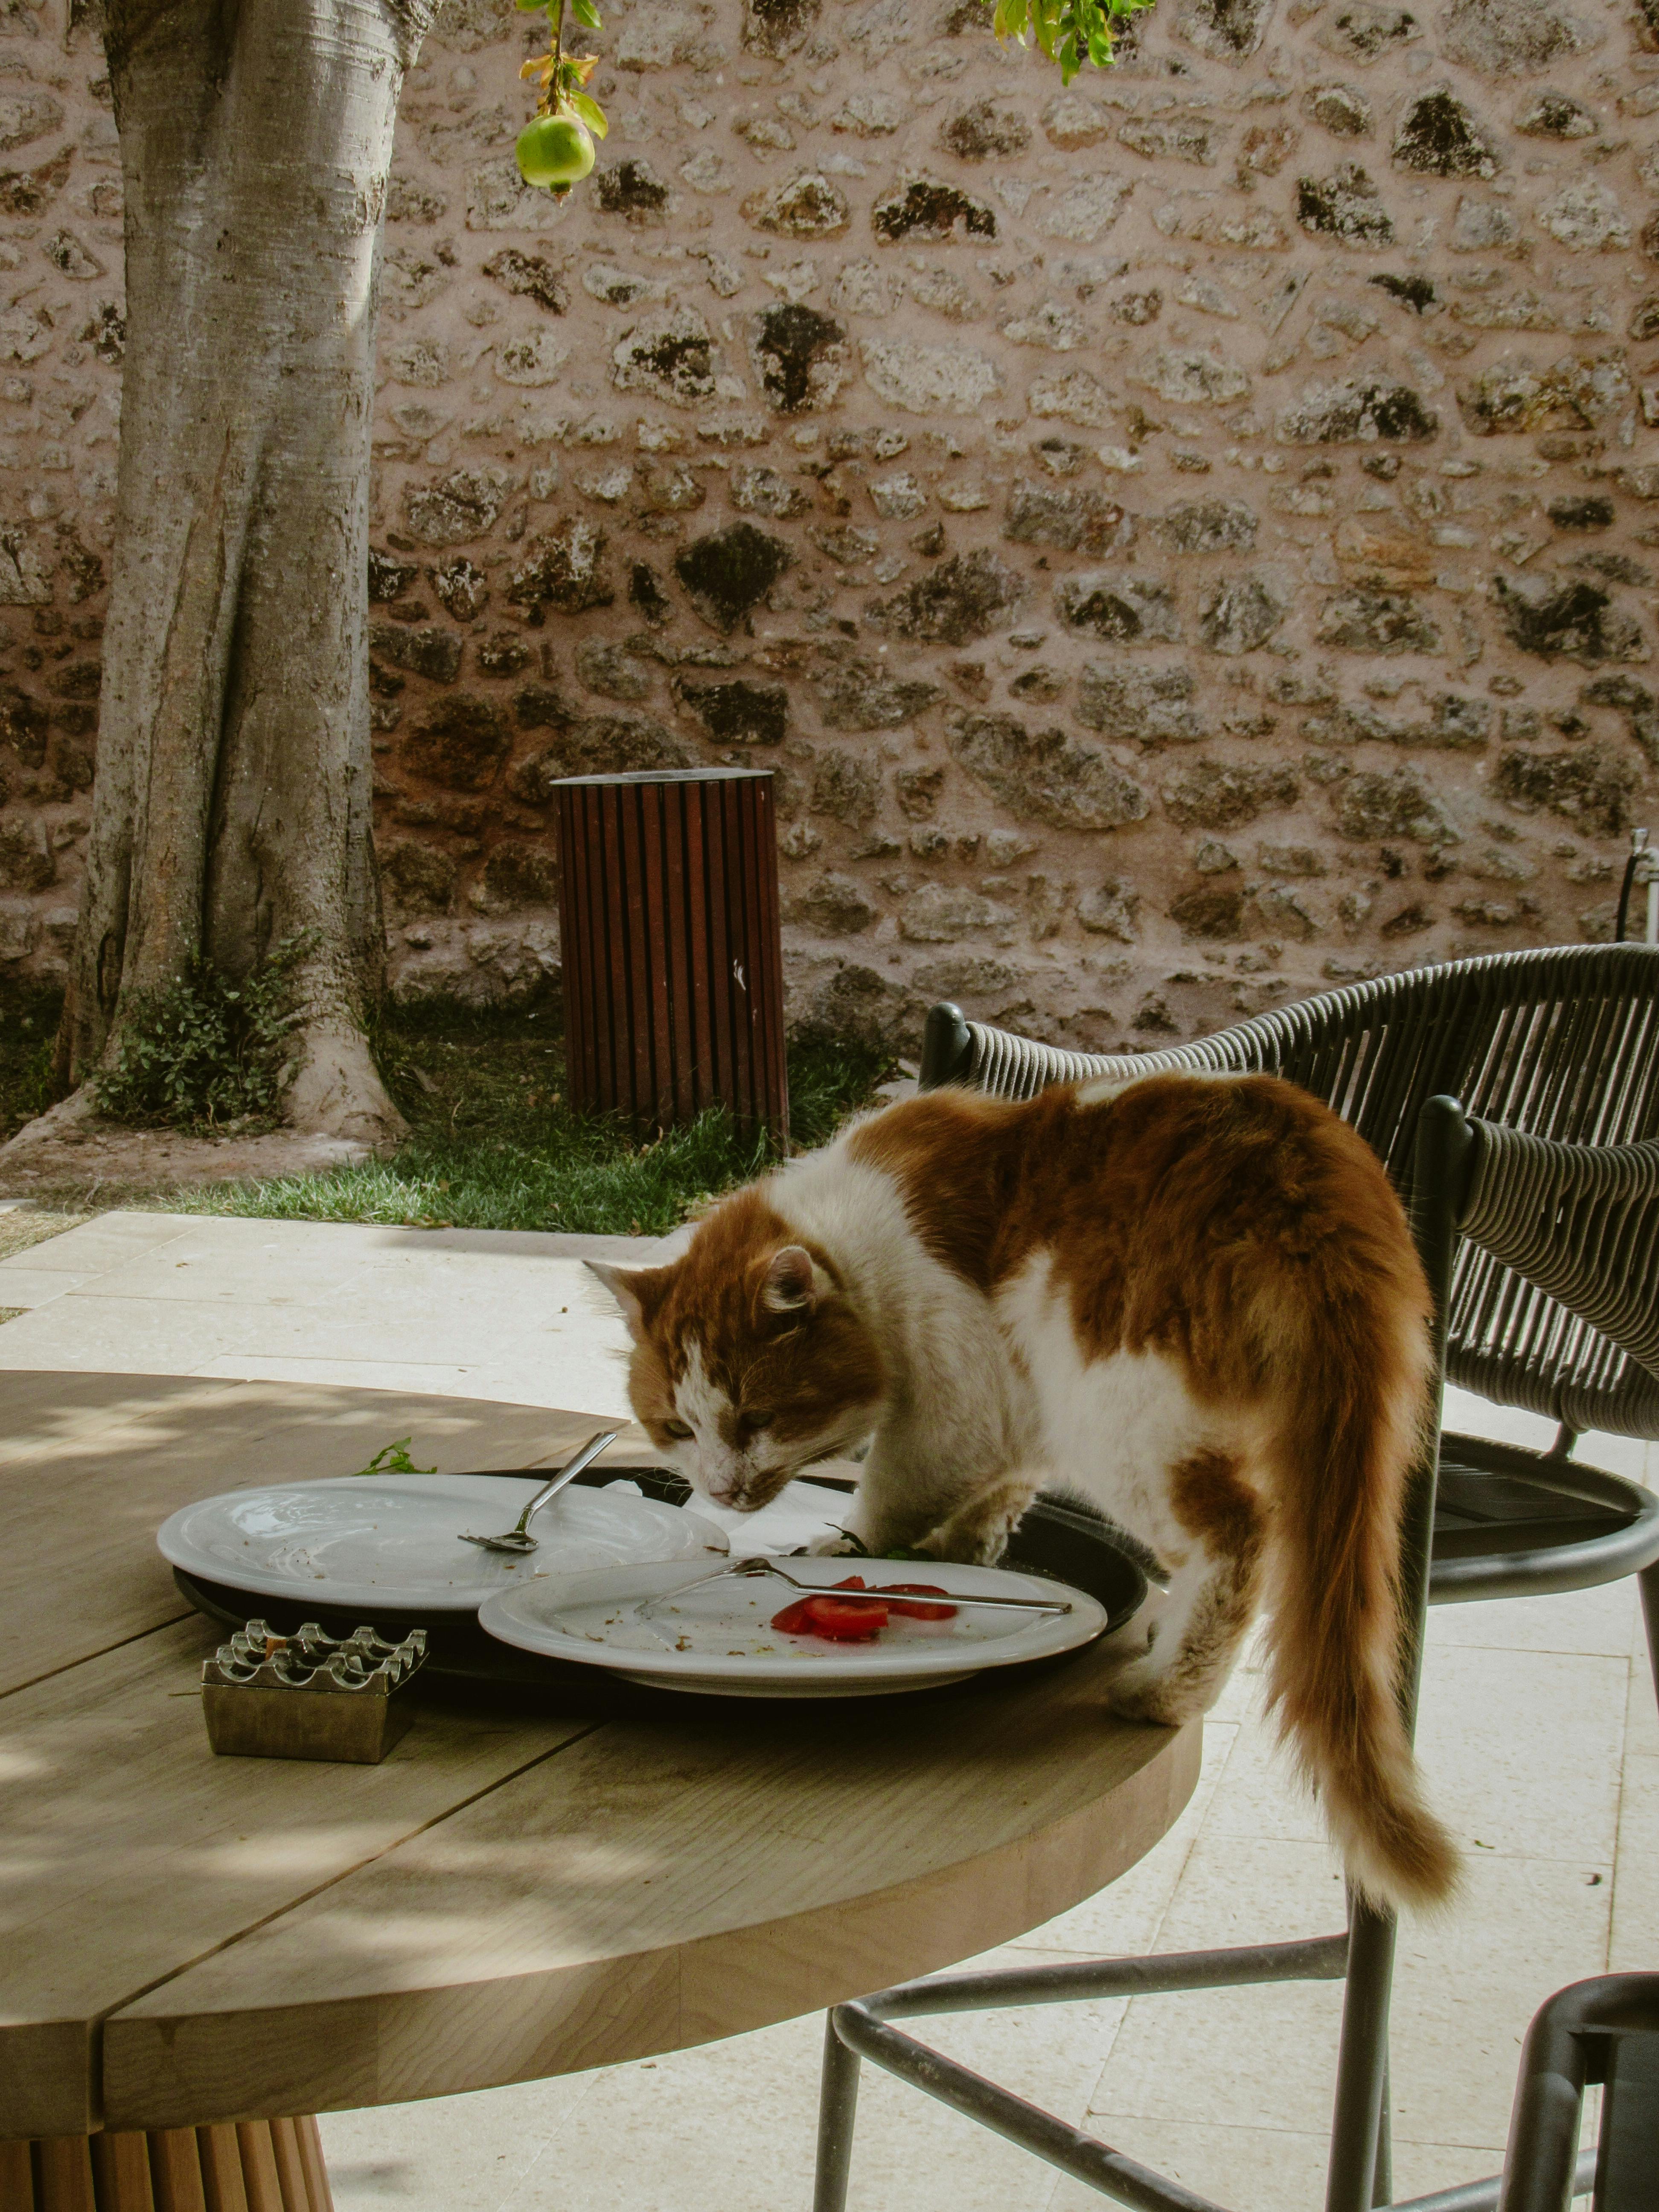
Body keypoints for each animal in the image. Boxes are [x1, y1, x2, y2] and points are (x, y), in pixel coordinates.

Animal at [593, 1075, 1460, 1920]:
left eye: (756, 1420)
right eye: (677, 1426)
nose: (723, 1487)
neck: (855, 1242)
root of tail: (1306, 1179)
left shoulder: (955, 1397)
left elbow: (891, 1490)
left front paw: (850, 1548)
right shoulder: (1015, 1408)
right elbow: (995, 1498)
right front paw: (961, 1552)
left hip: (1117, 1412)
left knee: (1237, 1540)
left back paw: (1163, 1690)